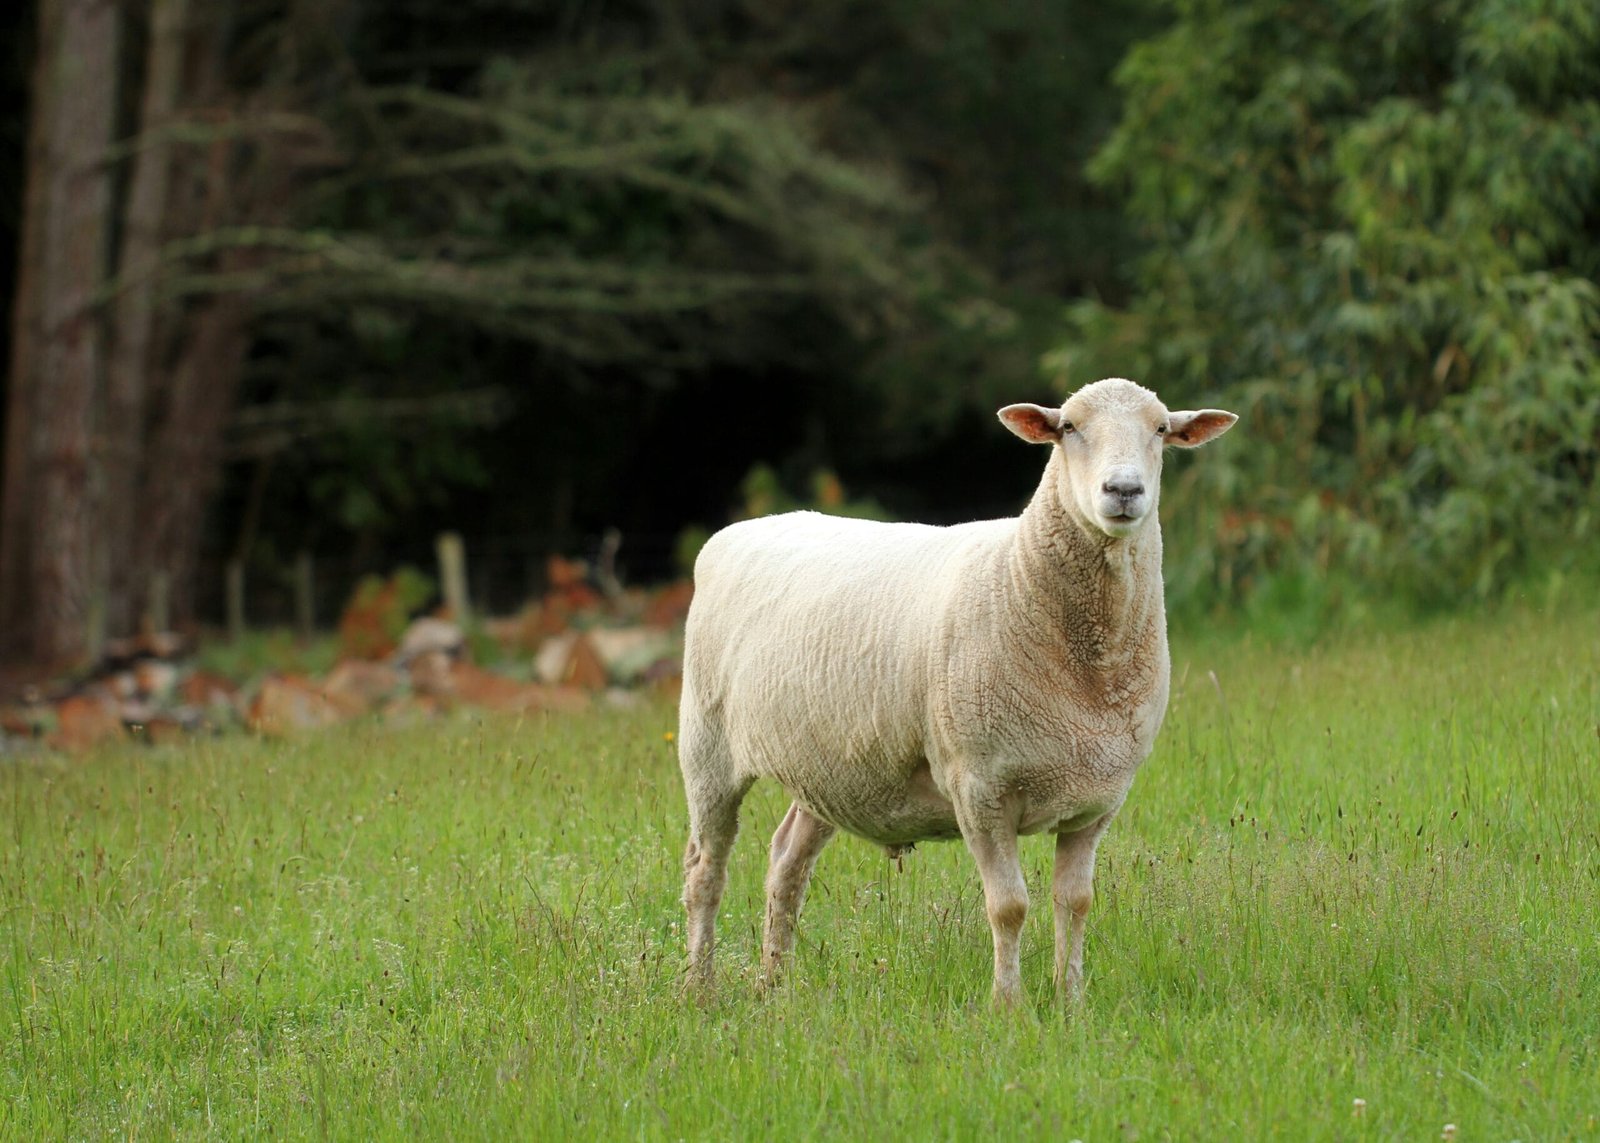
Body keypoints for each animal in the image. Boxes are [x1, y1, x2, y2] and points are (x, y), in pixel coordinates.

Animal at [677, 377, 1237, 1004]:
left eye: (1161, 429)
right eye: (1068, 427)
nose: (1123, 490)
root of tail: (742, 530)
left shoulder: (1097, 800)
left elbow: (1075, 903)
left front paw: (1070, 1002)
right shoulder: (980, 788)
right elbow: (1009, 907)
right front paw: (1009, 1006)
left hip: (827, 766)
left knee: (786, 863)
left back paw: (773, 985)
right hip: (707, 745)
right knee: (705, 869)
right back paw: (699, 986)